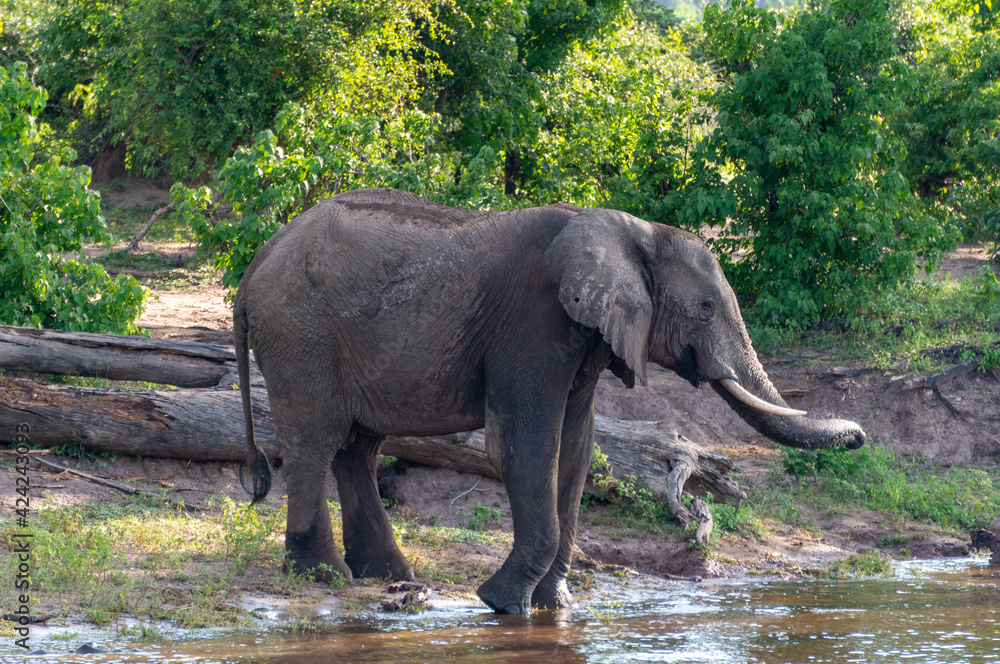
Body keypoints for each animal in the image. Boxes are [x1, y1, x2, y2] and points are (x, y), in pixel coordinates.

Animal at [235, 188, 865, 614]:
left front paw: (552, 606)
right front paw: (501, 603)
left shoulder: (582, 338)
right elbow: (527, 444)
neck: (633, 230)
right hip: (300, 331)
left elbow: (577, 447)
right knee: (315, 440)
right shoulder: (532, 323)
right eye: (707, 308)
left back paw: (387, 577)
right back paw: (324, 577)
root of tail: (255, 263)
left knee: (357, 447)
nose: (859, 434)